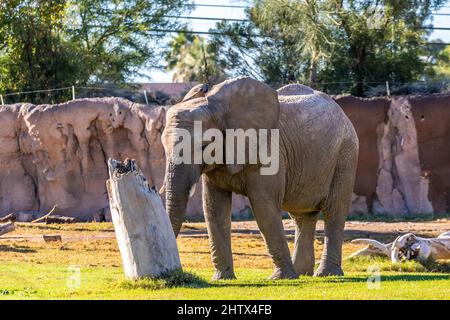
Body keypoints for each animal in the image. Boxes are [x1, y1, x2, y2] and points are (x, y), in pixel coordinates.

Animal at [162, 76, 358, 278]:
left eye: (204, 146)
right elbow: (214, 209)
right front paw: (222, 279)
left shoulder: (269, 151)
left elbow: (264, 207)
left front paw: (281, 278)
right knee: (302, 215)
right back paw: (302, 273)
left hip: (346, 154)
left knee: (334, 211)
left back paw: (326, 274)